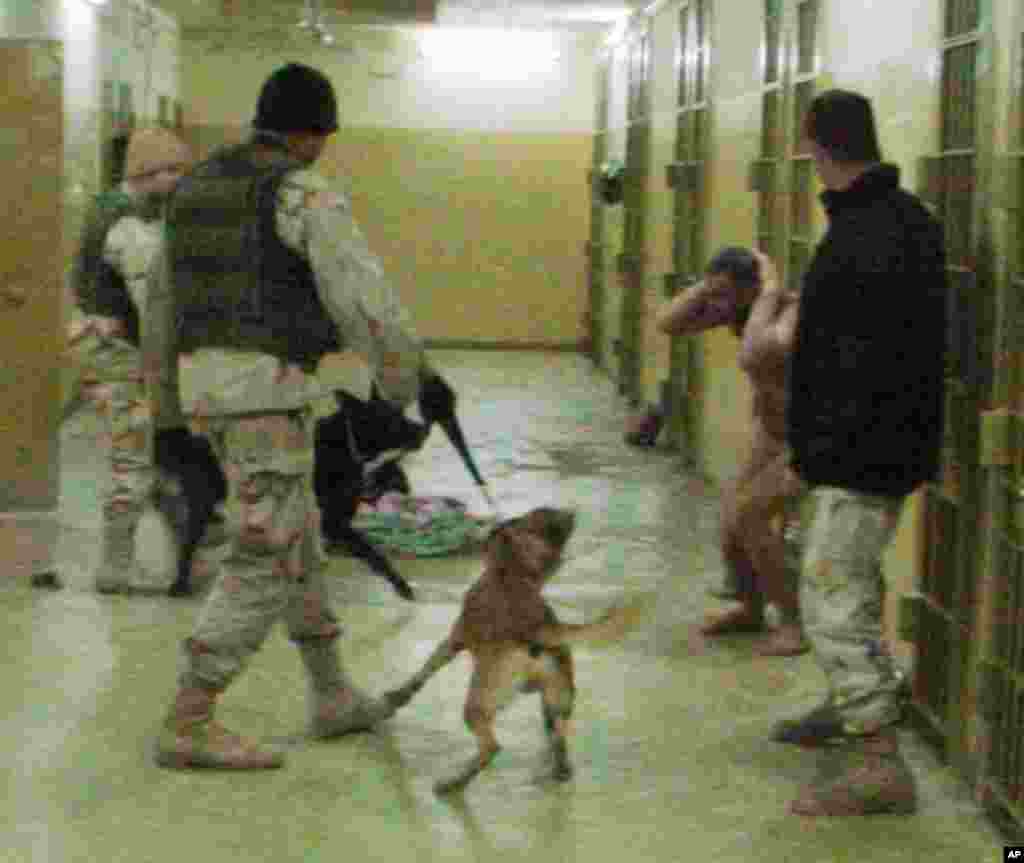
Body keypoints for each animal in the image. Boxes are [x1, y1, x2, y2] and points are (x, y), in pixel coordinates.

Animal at [385, 505, 638, 798]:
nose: (570, 514)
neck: (509, 571)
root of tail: (538, 630)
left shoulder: (454, 639)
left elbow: (425, 670)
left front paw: (399, 695)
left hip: (479, 703)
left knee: (491, 747)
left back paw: (453, 783)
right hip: (557, 700)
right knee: (559, 741)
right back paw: (557, 770)